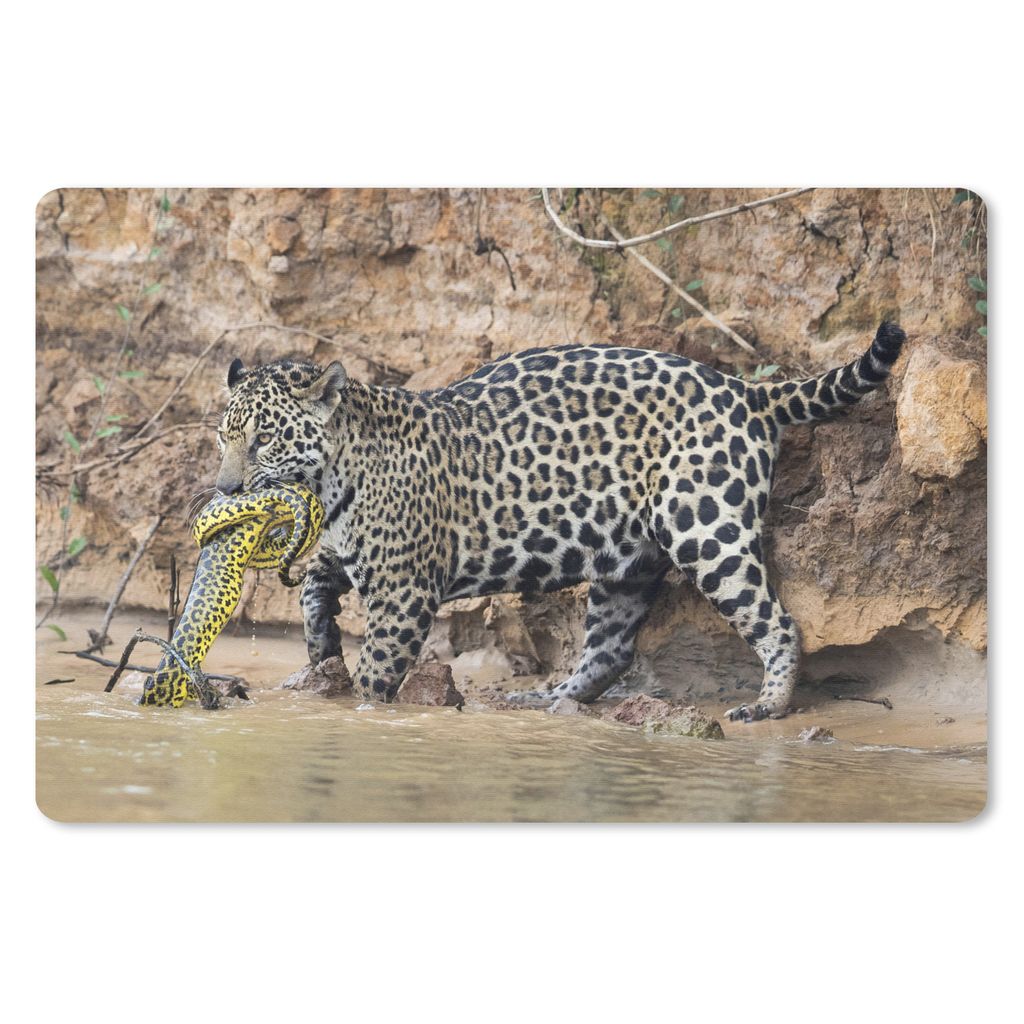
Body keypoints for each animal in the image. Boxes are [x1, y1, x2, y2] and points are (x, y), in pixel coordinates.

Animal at [215, 321, 906, 721]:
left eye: (264, 440)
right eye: (224, 437)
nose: (224, 488)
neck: (334, 474)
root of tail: (747, 391)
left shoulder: (403, 588)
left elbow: (379, 669)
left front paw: (359, 705)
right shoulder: (355, 553)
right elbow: (313, 585)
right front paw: (321, 649)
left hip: (704, 528)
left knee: (777, 621)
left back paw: (768, 705)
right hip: (628, 560)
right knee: (612, 648)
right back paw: (550, 700)